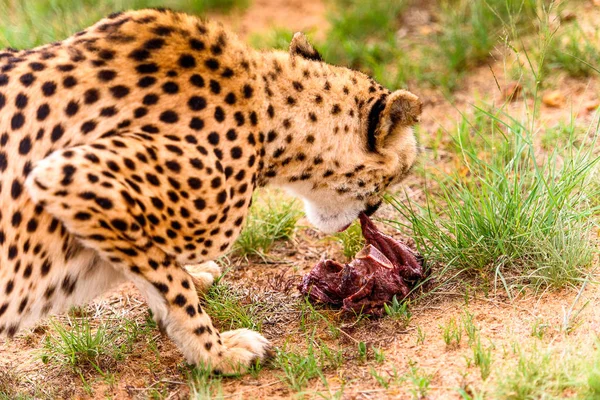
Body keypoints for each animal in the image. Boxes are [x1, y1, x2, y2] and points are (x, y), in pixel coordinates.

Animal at [0, 8, 422, 376]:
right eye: (400, 172)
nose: (376, 209)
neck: (264, 115)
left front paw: (195, 281)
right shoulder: (70, 177)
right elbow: (172, 283)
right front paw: (217, 355)